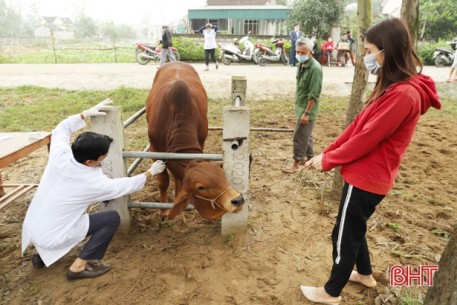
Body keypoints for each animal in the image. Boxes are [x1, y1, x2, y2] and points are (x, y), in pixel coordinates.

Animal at [146, 61, 246, 218]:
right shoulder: (155, 149)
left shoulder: (201, 141)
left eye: (222, 175)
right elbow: (163, 182)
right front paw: (163, 211)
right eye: (201, 187)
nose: (238, 199)